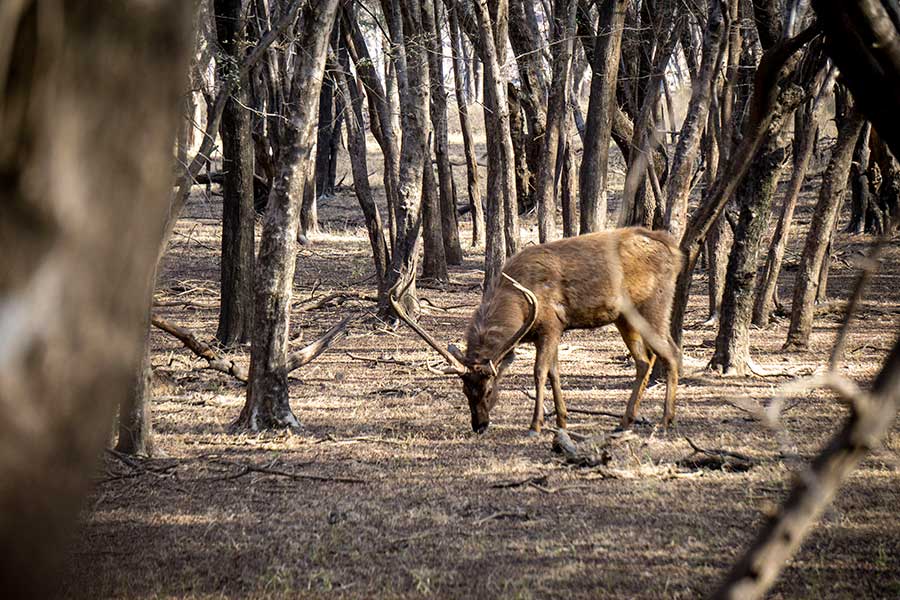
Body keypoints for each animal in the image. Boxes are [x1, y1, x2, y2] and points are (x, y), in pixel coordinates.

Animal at [392, 227, 684, 434]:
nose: (479, 426)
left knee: (670, 352)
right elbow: (555, 371)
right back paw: (624, 422)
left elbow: (540, 372)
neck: (517, 301)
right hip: (624, 317)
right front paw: (562, 420)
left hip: (654, 303)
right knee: (644, 360)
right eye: (464, 390)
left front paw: (536, 425)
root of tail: (674, 251)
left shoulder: (552, 325)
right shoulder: (547, 333)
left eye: (489, 389)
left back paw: (665, 421)